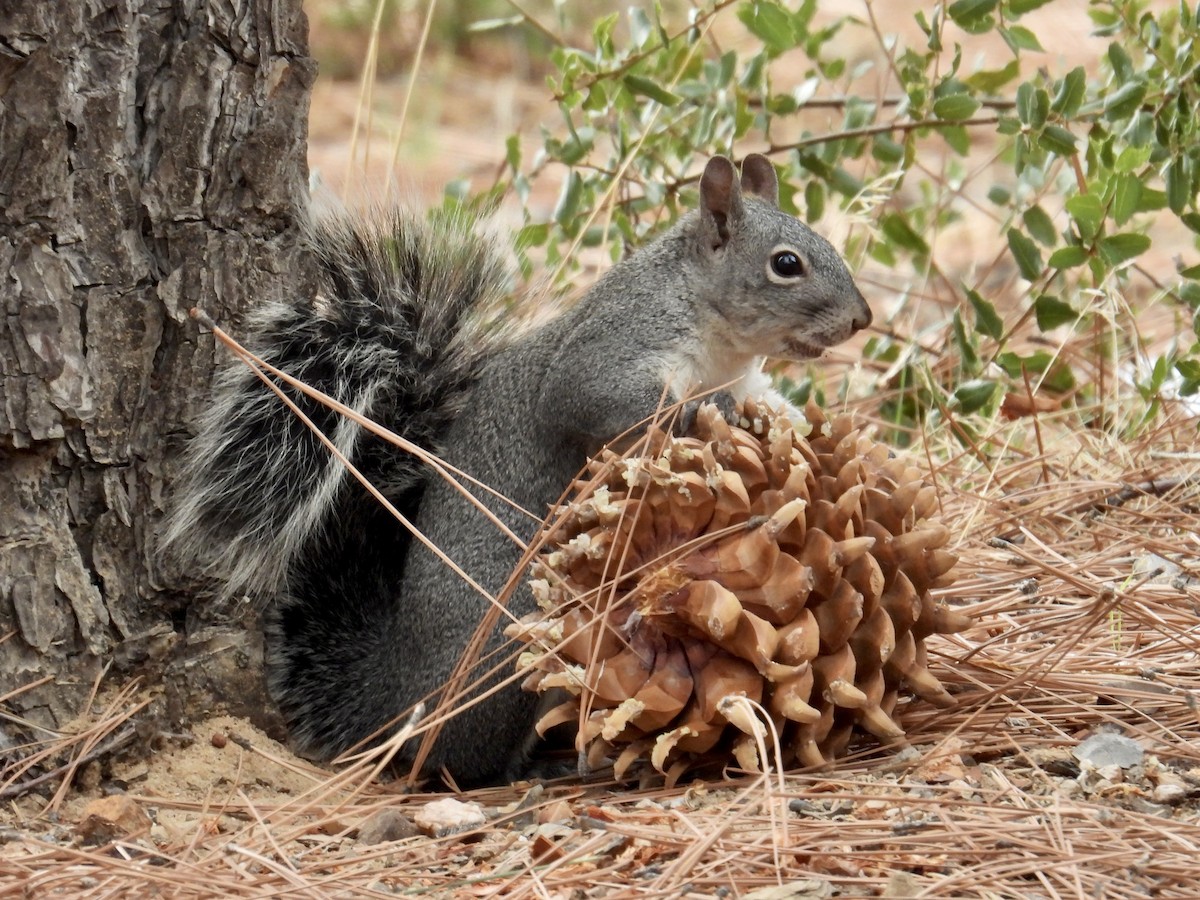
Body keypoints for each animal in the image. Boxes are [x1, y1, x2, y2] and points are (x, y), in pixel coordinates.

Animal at [167, 154, 872, 787]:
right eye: (786, 263)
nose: (862, 319)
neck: (717, 338)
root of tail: (398, 696)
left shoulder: (746, 377)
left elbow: (771, 403)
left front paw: (808, 429)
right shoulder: (606, 354)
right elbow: (605, 404)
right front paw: (704, 412)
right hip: (510, 648)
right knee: (464, 764)